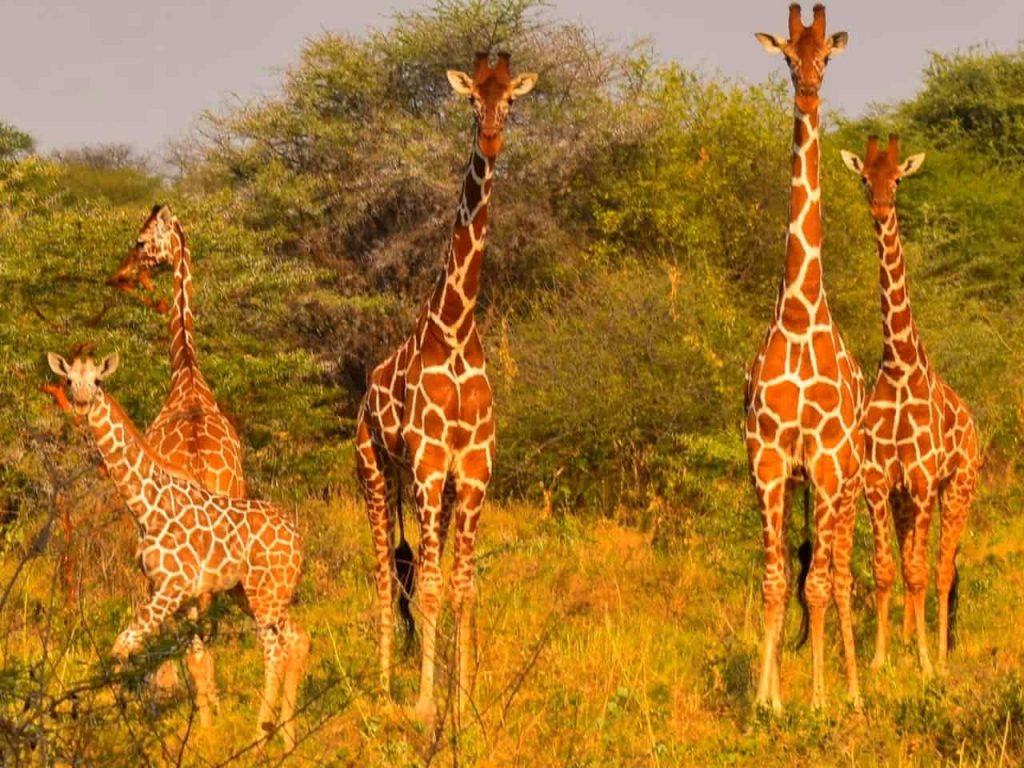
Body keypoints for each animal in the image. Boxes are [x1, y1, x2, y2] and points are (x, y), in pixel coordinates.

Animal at [46, 354, 307, 753]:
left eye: (98, 380)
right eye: (69, 380)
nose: (82, 401)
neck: (146, 507)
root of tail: (297, 539)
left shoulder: (172, 588)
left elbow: (122, 646)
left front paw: (116, 726)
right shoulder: (169, 591)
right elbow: (170, 653)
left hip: (265, 594)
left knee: (274, 650)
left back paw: (259, 738)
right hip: (259, 593)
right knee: (296, 639)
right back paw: (288, 739)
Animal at [354, 54, 536, 729]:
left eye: (509, 100)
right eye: (470, 101)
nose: (490, 141)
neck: (456, 329)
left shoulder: (474, 470)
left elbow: (463, 586)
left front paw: (465, 700)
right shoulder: (430, 466)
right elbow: (429, 587)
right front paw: (427, 704)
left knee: (405, 570)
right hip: (375, 471)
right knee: (386, 573)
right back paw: (383, 685)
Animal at [839, 135, 983, 675]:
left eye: (898, 179)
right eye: (865, 178)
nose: (881, 209)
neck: (901, 364)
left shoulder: (922, 481)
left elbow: (920, 570)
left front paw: (924, 661)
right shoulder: (881, 484)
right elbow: (887, 569)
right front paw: (882, 658)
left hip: (959, 488)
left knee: (942, 568)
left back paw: (939, 650)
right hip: (908, 500)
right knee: (913, 563)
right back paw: (907, 637)